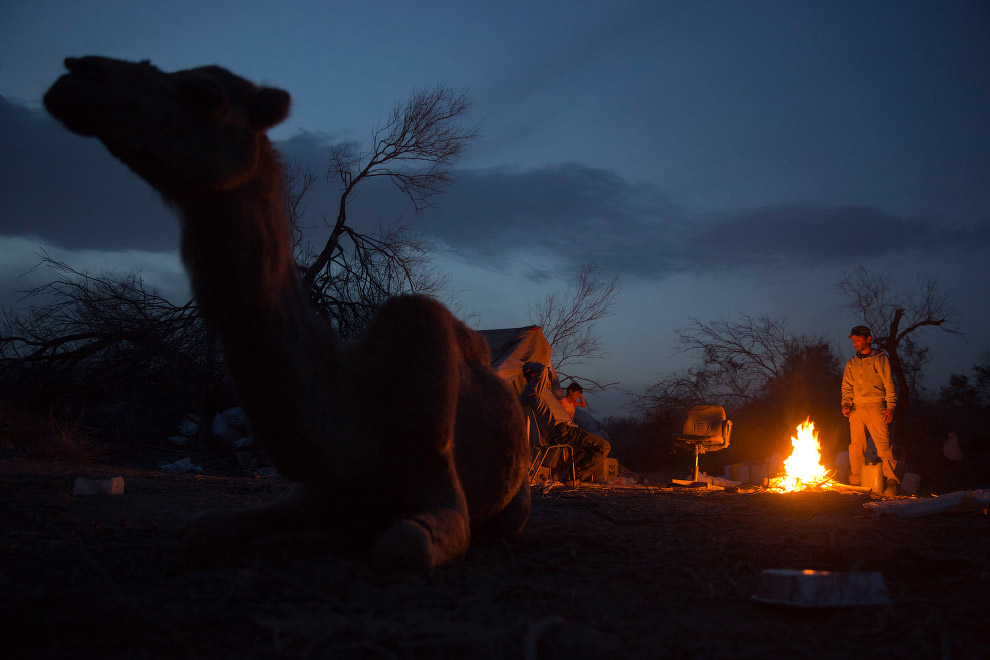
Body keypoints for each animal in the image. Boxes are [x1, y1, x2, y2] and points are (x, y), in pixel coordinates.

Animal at [44, 56, 536, 568]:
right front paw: (297, 538)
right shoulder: (317, 491)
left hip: (517, 496)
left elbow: (404, 544)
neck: (362, 410)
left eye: (207, 95)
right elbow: (205, 528)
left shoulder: (438, 481)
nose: (80, 74)